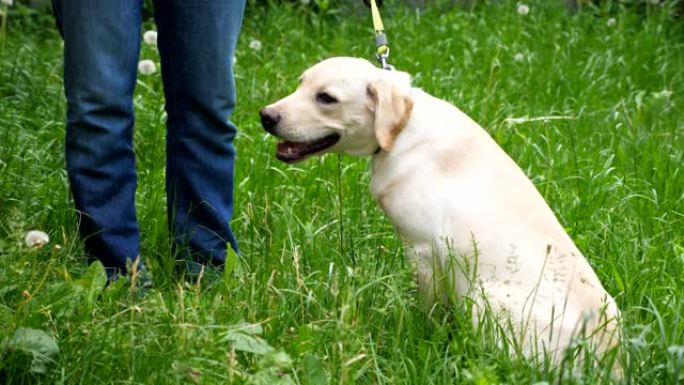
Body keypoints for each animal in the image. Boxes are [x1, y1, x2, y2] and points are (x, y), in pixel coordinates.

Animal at [260, 57, 620, 368]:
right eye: (300, 84)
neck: (402, 129)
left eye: (326, 98)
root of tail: (609, 361)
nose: (266, 115)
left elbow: (430, 312)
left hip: (483, 298)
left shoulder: (424, 252)